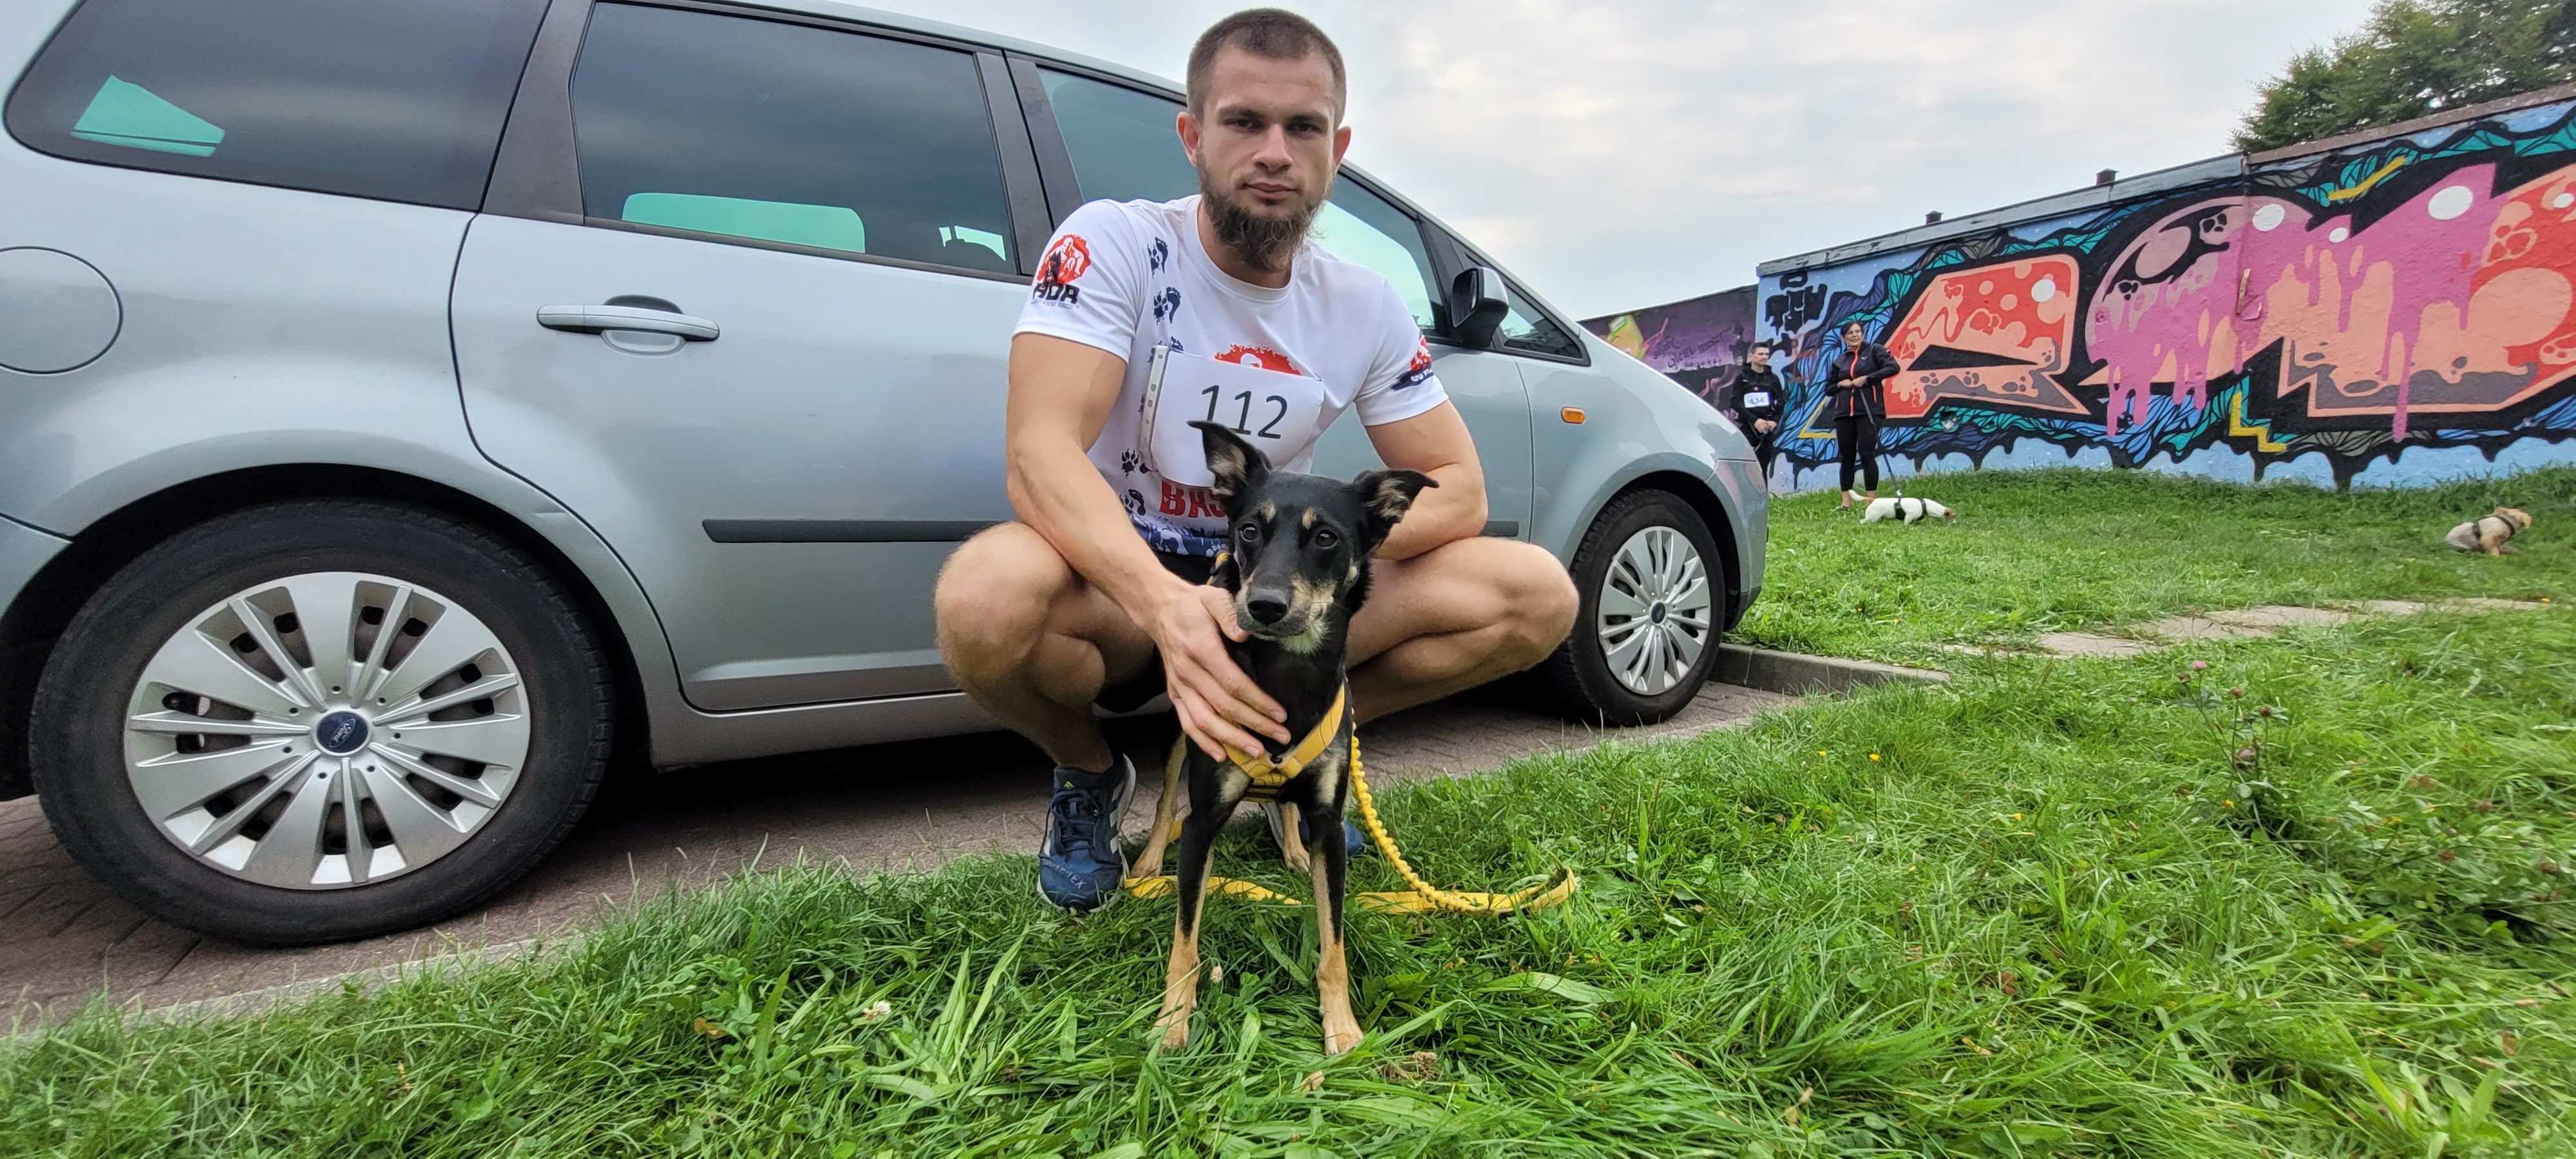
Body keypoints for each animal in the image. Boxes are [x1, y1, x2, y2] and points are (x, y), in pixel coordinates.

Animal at [1128, 420, 1443, 1056]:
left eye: (1325, 537)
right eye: (1250, 530)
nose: (1264, 606)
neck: (1290, 671)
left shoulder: (1331, 826)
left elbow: (1334, 944)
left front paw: (1342, 1026)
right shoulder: (1203, 823)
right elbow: (1185, 943)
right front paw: (1172, 1021)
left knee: (1286, 808)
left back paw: (1293, 848)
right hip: (1182, 735)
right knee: (1166, 797)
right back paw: (1150, 861)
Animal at [1855, 495, 1947, 523]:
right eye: (1951, 516)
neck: (1924, 505)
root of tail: (1873, 500)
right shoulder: (1909, 517)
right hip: (1872, 518)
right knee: (1862, 521)